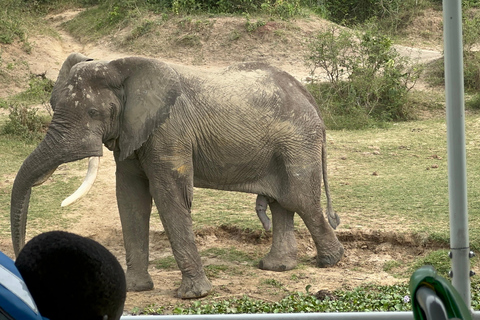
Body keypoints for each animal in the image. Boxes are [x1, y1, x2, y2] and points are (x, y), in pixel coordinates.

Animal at [9, 51, 344, 298]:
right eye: (53, 105)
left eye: (93, 113)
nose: (23, 270)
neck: (122, 67)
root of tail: (308, 96)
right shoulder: (133, 132)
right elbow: (130, 197)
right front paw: (135, 289)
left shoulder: (169, 131)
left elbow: (168, 195)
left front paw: (194, 295)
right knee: (282, 203)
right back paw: (277, 267)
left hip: (298, 143)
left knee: (300, 200)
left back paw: (330, 261)